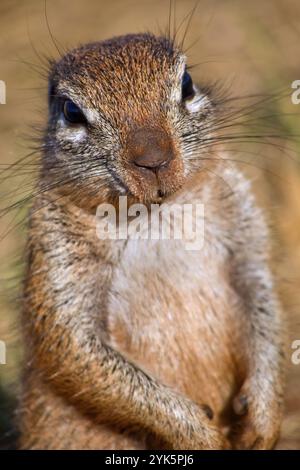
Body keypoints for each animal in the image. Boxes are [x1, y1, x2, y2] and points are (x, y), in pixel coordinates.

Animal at [18, 34, 286, 452]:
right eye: (71, 111)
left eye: (187, 83)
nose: (154, 159)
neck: (156, 216)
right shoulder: (57, 256)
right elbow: (76, 348)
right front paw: (200, 435)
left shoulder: (244, 233)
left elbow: (263, 302)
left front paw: (262, 417)